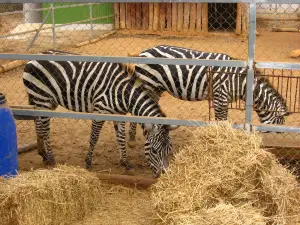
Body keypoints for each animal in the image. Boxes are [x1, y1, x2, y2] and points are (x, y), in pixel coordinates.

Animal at [23, 50, 179, 178]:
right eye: (154, 150)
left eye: (169, 150)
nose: (163, 175)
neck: (122, 93)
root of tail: (33, 58)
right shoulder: (100, 111)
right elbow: (94, 137)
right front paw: (88, 162)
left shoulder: (119, 114)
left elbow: (121, 138)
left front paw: (125, 163)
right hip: (42, 98)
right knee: (45, 129)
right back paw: (51, 158)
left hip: (47, 101)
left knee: (38, 124)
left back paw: (42, 154)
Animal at [127, 45, 290, 144]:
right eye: (280, 122)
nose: (280, 136)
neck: (241, 82)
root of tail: (143, 52)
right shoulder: (220, 97)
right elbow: (221, 121)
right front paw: (222, 140)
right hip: (148, 84)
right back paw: (132, 139)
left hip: (156, 88)